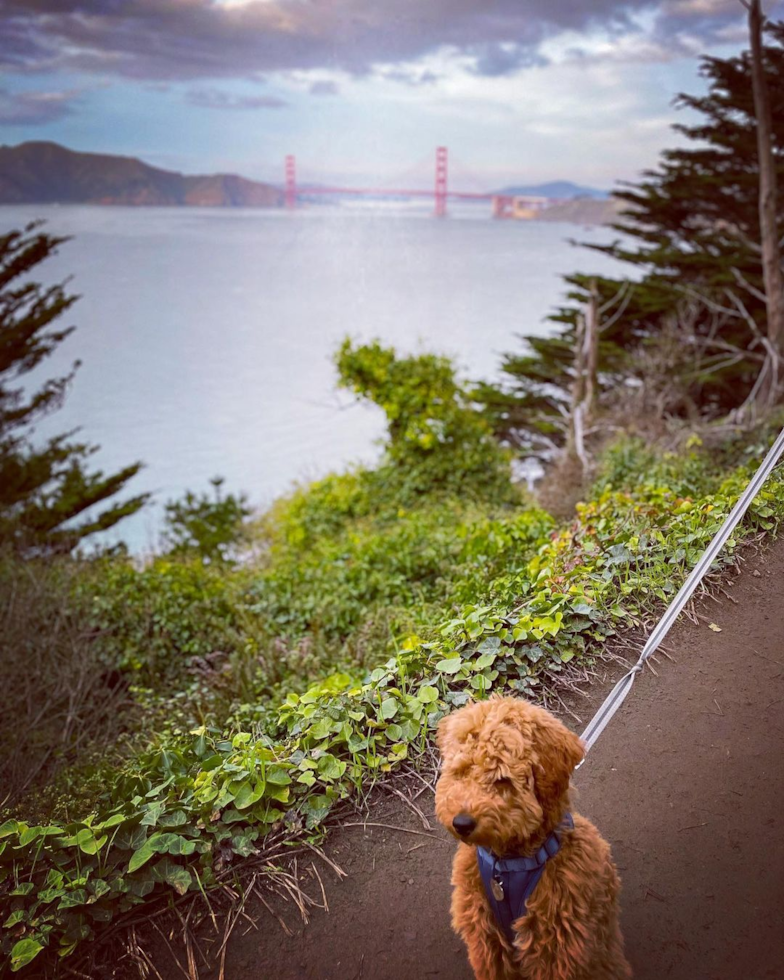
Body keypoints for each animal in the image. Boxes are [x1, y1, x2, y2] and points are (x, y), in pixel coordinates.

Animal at [434, 696, 632, 980]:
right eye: (461, 771)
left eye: (502, 778)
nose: (461, 823)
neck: (509, 864)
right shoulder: (487, 940)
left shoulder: (556, 947)